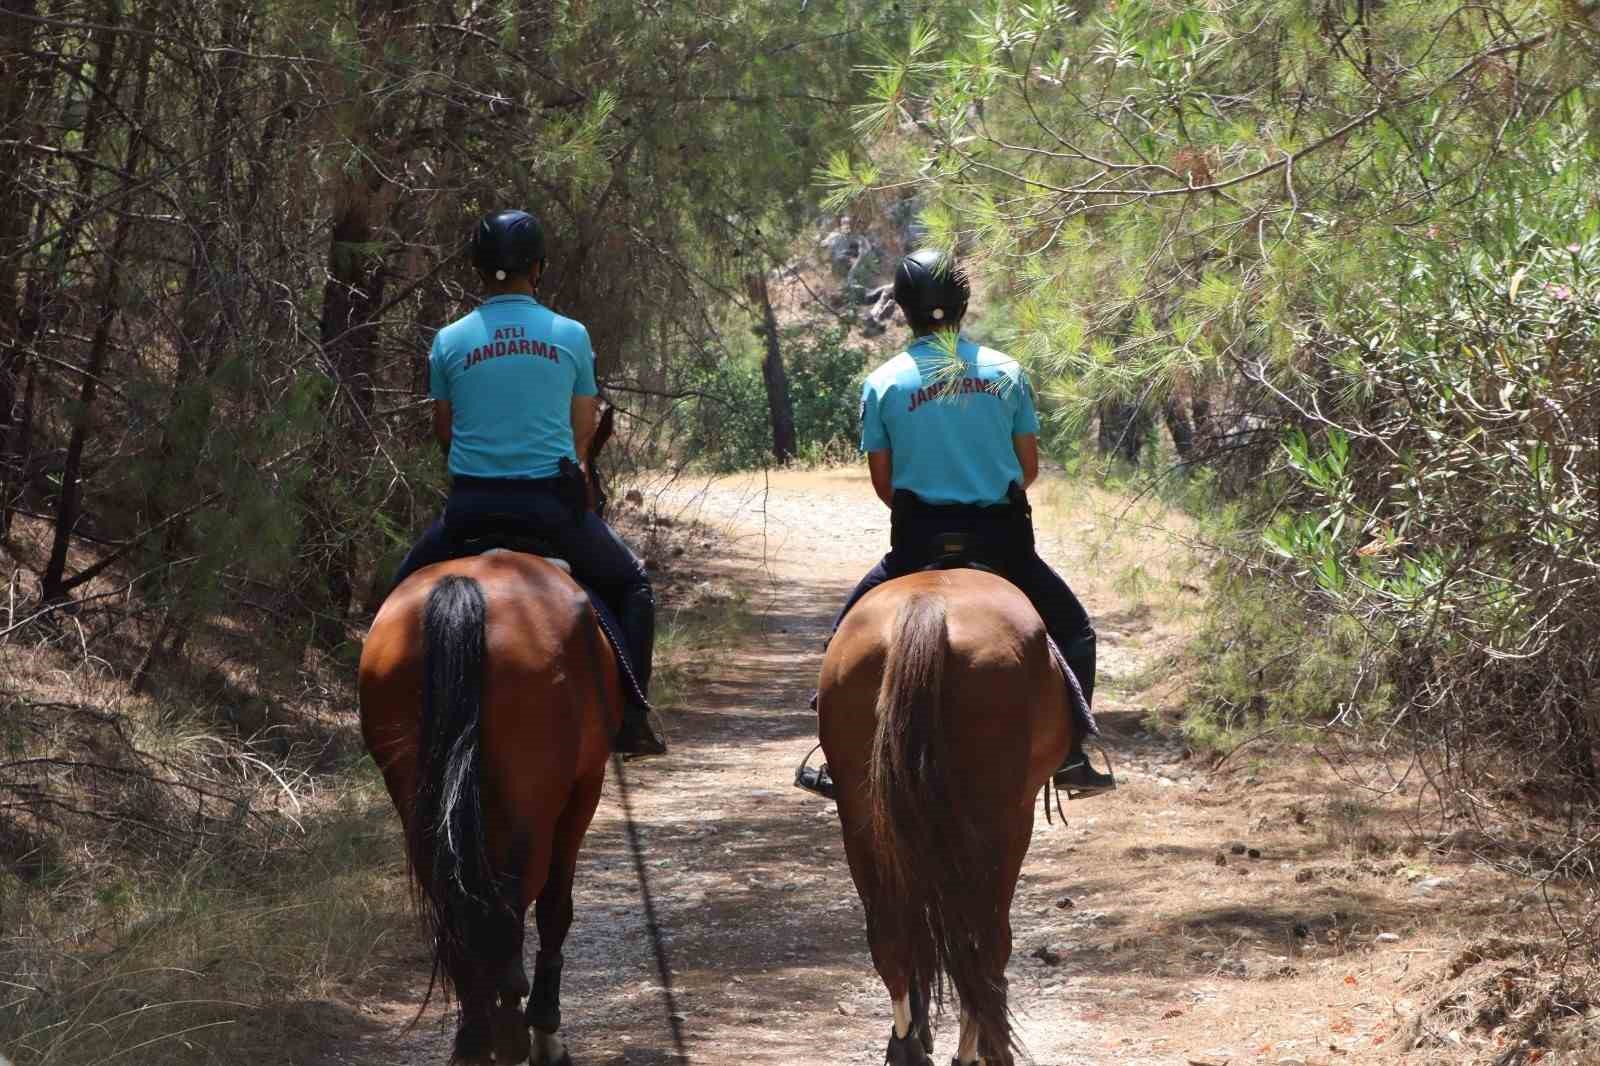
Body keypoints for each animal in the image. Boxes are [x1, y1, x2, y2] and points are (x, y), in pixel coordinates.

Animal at [825, 569, 1075, 1056]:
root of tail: (928, 610)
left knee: (893, 937)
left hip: (863, 819)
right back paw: (976, 1048)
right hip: (999, 820)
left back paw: (908, 1047)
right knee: (982, 942)